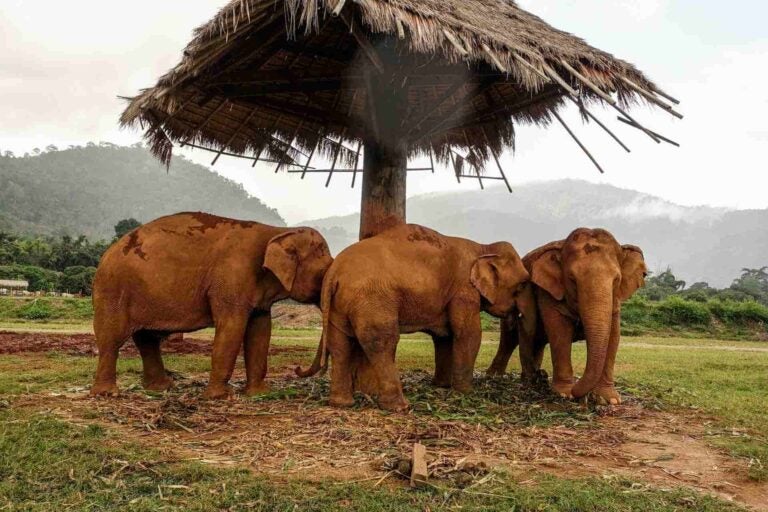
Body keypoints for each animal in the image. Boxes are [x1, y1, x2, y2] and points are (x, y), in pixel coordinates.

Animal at [90, 212, 333, 399]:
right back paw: (107, 393)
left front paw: (260, 394)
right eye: (323, 274)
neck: (278, 231)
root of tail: (106, 254)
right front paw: (219, 396)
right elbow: (232, 328)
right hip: (112, 289)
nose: (297, 368)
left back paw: (161, 388)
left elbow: (260, 331)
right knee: (112, 338)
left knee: (146, 338)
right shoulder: (231, 279)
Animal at [299, 224, 530, 412]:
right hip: (372, 300)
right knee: (382, 342)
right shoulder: (464, 290)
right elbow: (468, 334)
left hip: (338, 305)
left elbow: (444, 337)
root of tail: (333, 272)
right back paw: (399, 407)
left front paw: (442, 386)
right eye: (522, 285)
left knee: (341, 345)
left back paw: (341, 404)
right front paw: (463, 393)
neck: (482, 247)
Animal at [487, 228, 647, 405]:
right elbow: (559, 331)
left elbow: (613, 336)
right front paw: (565, 394)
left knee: (537, 342)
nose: (583, 396)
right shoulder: (547, 290)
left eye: (616, 280)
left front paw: (609, 399)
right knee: (509, 339)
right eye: (572, 279)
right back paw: (496, 377)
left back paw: (534, 379)